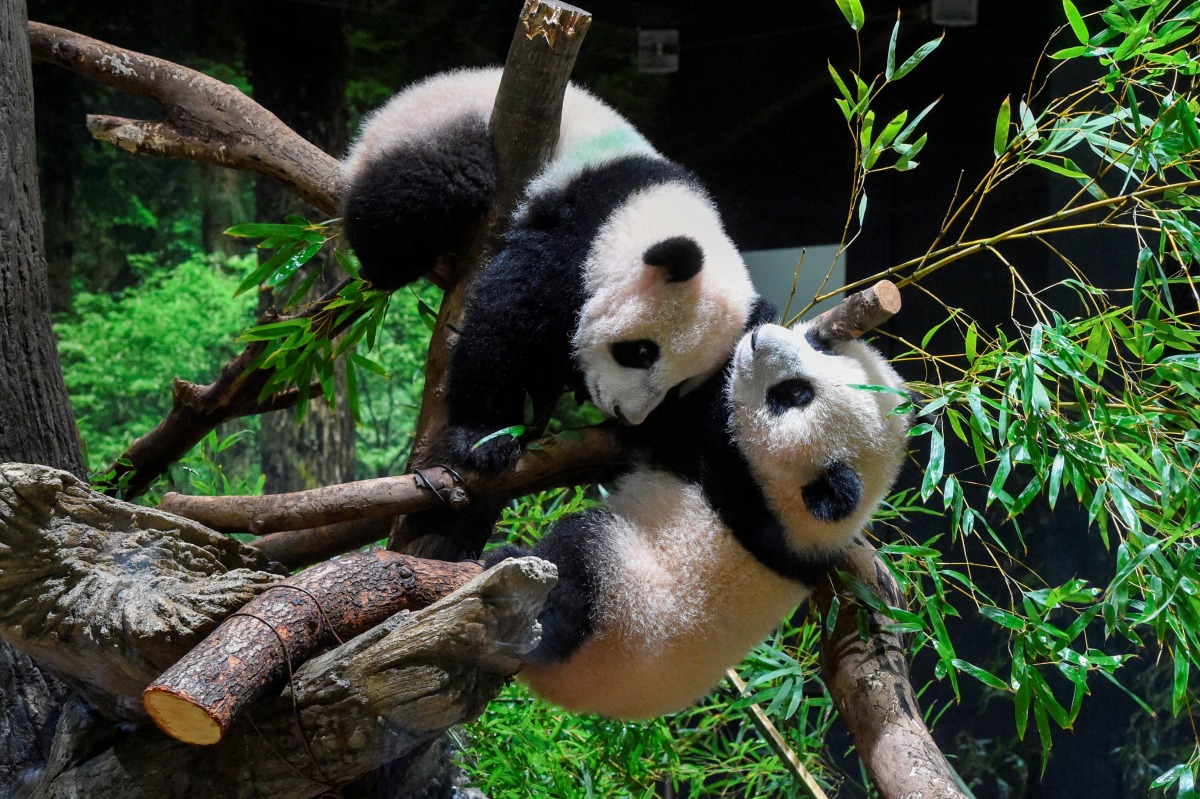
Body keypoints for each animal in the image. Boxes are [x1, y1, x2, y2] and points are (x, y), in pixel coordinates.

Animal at [341, 68, 758, 471]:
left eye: (678, 387)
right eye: (641, 352)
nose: (626, 413)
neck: (646, 208)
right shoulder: (580, 226)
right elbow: (509, 317)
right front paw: (486, 436)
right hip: (435, 129)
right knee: (430, 186)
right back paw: (389, 265)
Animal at [484, 318, 911, 719]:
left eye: (792, 395)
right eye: (819, 346)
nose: (759, 339)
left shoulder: (733, 478)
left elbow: (670, 426)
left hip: (619, 605)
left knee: (575, 568)